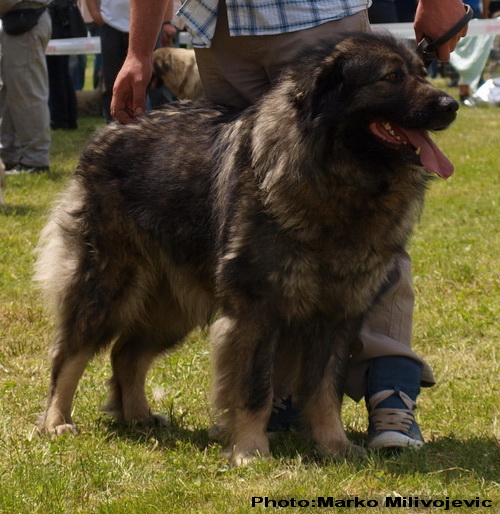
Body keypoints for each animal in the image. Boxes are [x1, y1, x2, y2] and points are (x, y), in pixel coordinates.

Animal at [35, 32, 458, 464]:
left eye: (422, 72)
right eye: (391, 77)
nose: (451, 105)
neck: (339, 180)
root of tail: (110, 130)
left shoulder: (339, 313)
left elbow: (325, 390)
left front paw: (334, 445)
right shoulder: (256, 310)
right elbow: (255, 388)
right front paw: (252, 449)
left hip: (172, 306)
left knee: (125, 353)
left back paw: (138, 416)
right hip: (107, 285)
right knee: (68, 354)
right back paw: (56, 422)